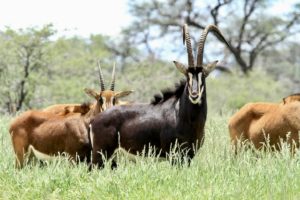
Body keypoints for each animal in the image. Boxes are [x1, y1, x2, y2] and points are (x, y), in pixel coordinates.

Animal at [89, 24, 230, 169]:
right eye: (187, 75)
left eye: (203, 75)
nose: (194, 94)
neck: (182, 114)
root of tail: (94, 120)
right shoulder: (175, 156)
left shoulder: (189, 156)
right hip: (99, 156)